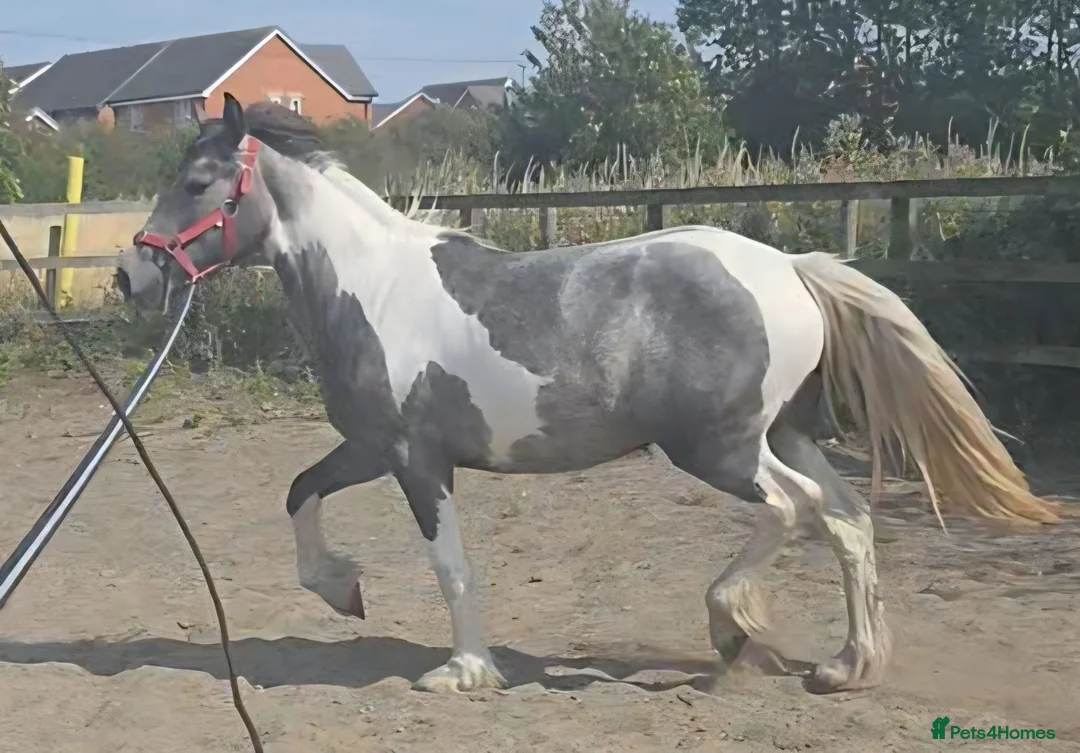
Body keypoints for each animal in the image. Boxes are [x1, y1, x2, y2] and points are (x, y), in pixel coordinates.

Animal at [115, 94, 1060, 696]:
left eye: (198, 184)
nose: (133, 275)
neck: (373, 290)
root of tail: (791, 268)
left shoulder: (415, 459)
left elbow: (450, 566)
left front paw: (462, 671)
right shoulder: (371, 447)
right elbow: (298, 490)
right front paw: (341, 589)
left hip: (719, 448)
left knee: (794, 511)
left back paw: (733, 625)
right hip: (782, 435)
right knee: (848, 520)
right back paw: (845, 666)